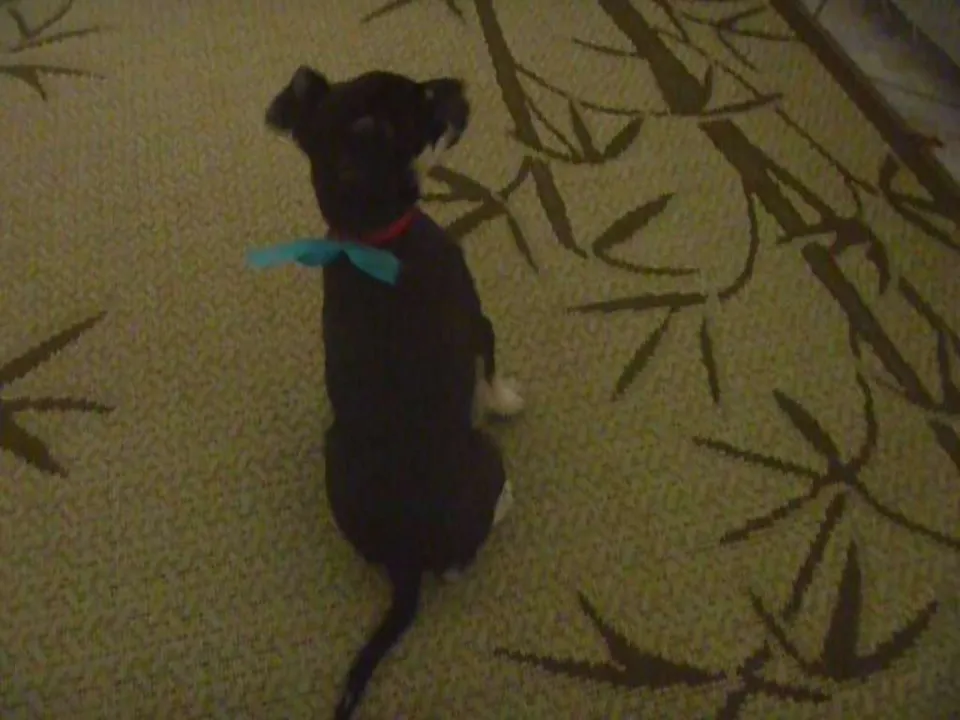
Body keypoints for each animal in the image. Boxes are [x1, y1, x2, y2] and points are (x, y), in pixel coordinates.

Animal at [264, 66, 524, 718]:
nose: (461, 83)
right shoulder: (478, 319)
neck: (371, 235)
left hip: (333, 454)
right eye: (427, 102)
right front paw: (506, 399)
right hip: (484, 458)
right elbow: (490, 370)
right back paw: (505, 499)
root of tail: (406, 564)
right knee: (460, 559)